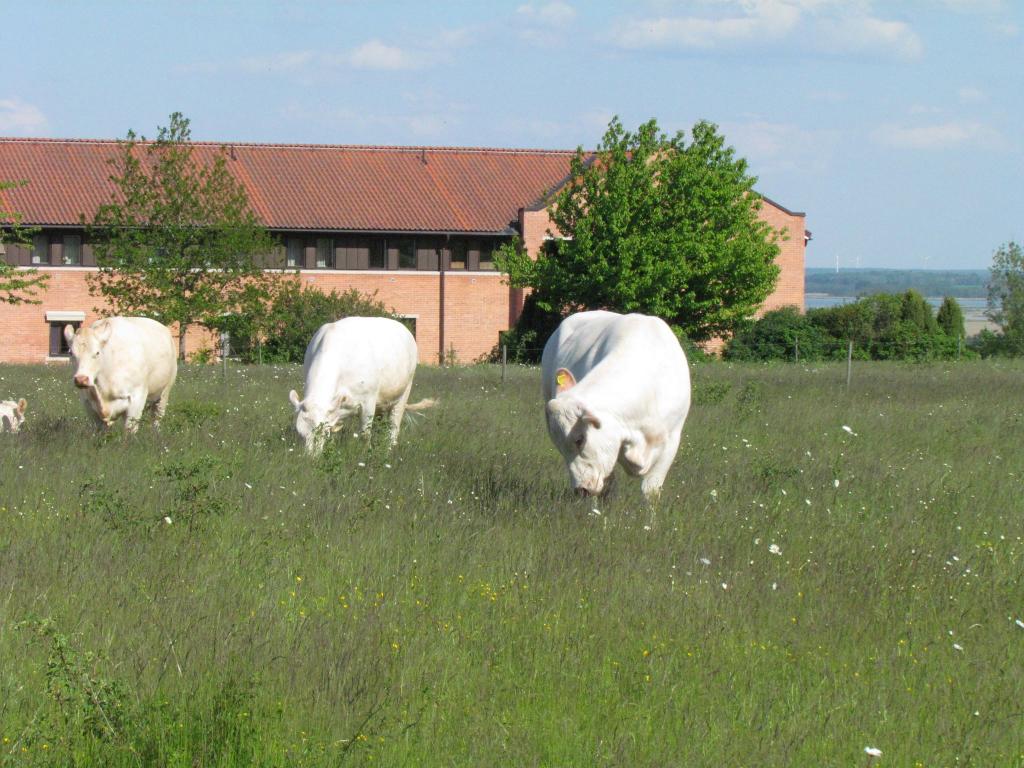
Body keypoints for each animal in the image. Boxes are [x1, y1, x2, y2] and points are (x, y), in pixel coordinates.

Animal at [288, 315, 436, 454]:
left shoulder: (368, 401)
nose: (311, 458)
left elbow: (365, 434)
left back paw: (389, 448)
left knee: (394, 425)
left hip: (404, 392)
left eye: (323, 432)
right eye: (299, 433)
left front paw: (364, 453)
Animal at [540, 309, 692, 501]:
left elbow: (651, 489)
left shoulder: (672, 439)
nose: (581, 490)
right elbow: (607, 485)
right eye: (558, 446)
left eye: (580, 440)